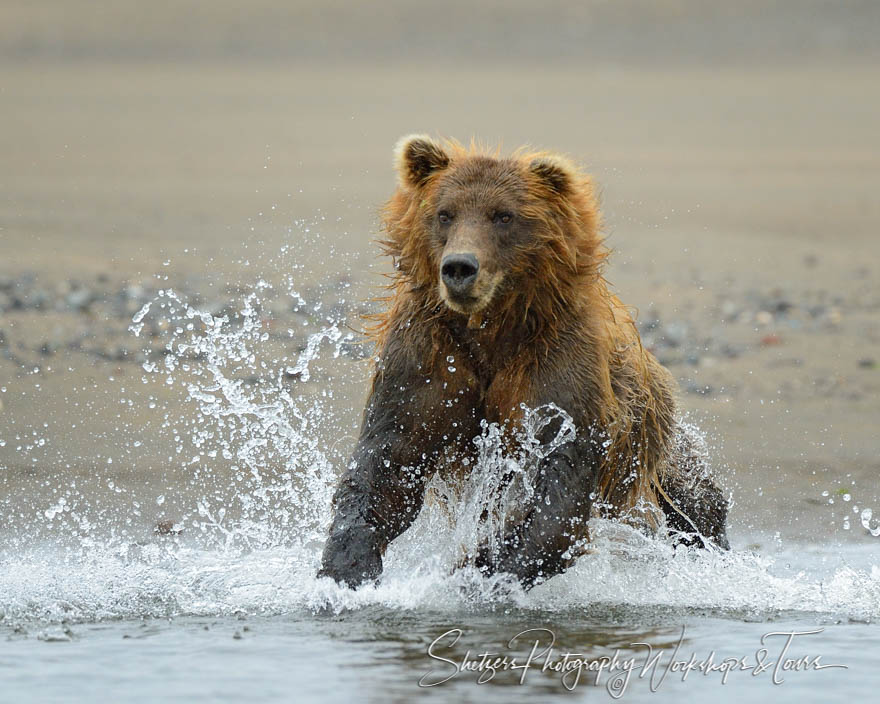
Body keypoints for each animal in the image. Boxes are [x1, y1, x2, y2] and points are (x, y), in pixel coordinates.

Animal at [316, 136, 728, 588]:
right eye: (444, 213)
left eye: (503, 215)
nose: (459, 267)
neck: (491, 328)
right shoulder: (430, 355)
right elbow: (391, 457)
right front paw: (346, 567)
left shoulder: (556, 363)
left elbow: (557, 479)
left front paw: (484, 567)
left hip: (651, 447)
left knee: (695, 501)